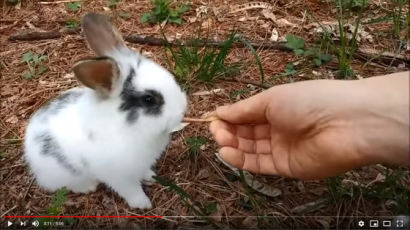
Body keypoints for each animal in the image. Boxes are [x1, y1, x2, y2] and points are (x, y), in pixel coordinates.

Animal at [23, 13, 187, 209]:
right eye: (149, 99)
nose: (182, 109)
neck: (127, 128)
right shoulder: (120, 177)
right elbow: (132, 190)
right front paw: (143, 205)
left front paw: (151, 177)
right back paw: (88, 187)